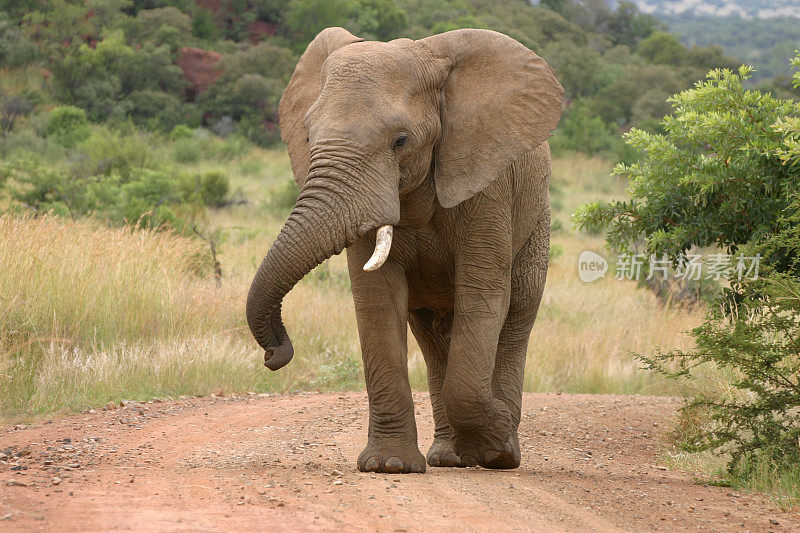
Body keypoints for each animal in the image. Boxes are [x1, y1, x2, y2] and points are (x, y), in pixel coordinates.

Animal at [247, 27, 564, 472]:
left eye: (400, 141)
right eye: (308, 137)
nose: (275, 355)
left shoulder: (488, 187)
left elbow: (483, 296)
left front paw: (496, 442)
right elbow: (378, 300)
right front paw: (388, 465)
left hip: (537, 222)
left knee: (517, 314)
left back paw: (499, 454)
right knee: (432, 335)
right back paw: (450, 456)